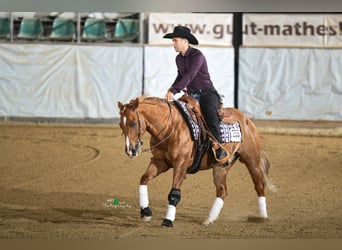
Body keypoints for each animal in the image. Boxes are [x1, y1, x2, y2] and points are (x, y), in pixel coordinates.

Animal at [117, 94, 276, 228]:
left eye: (133, 123)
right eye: (120, 125)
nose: (130, 150)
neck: (170, 126)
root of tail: (246, 120)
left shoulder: (180, 164)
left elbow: (174, 194)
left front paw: (168, 220)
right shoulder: (160, 162)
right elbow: (144, 179)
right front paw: (146, 212)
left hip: (252, 161)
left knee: (259, 186)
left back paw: (263, 217)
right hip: (221, 166)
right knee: (222, 190)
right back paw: (209, 219)